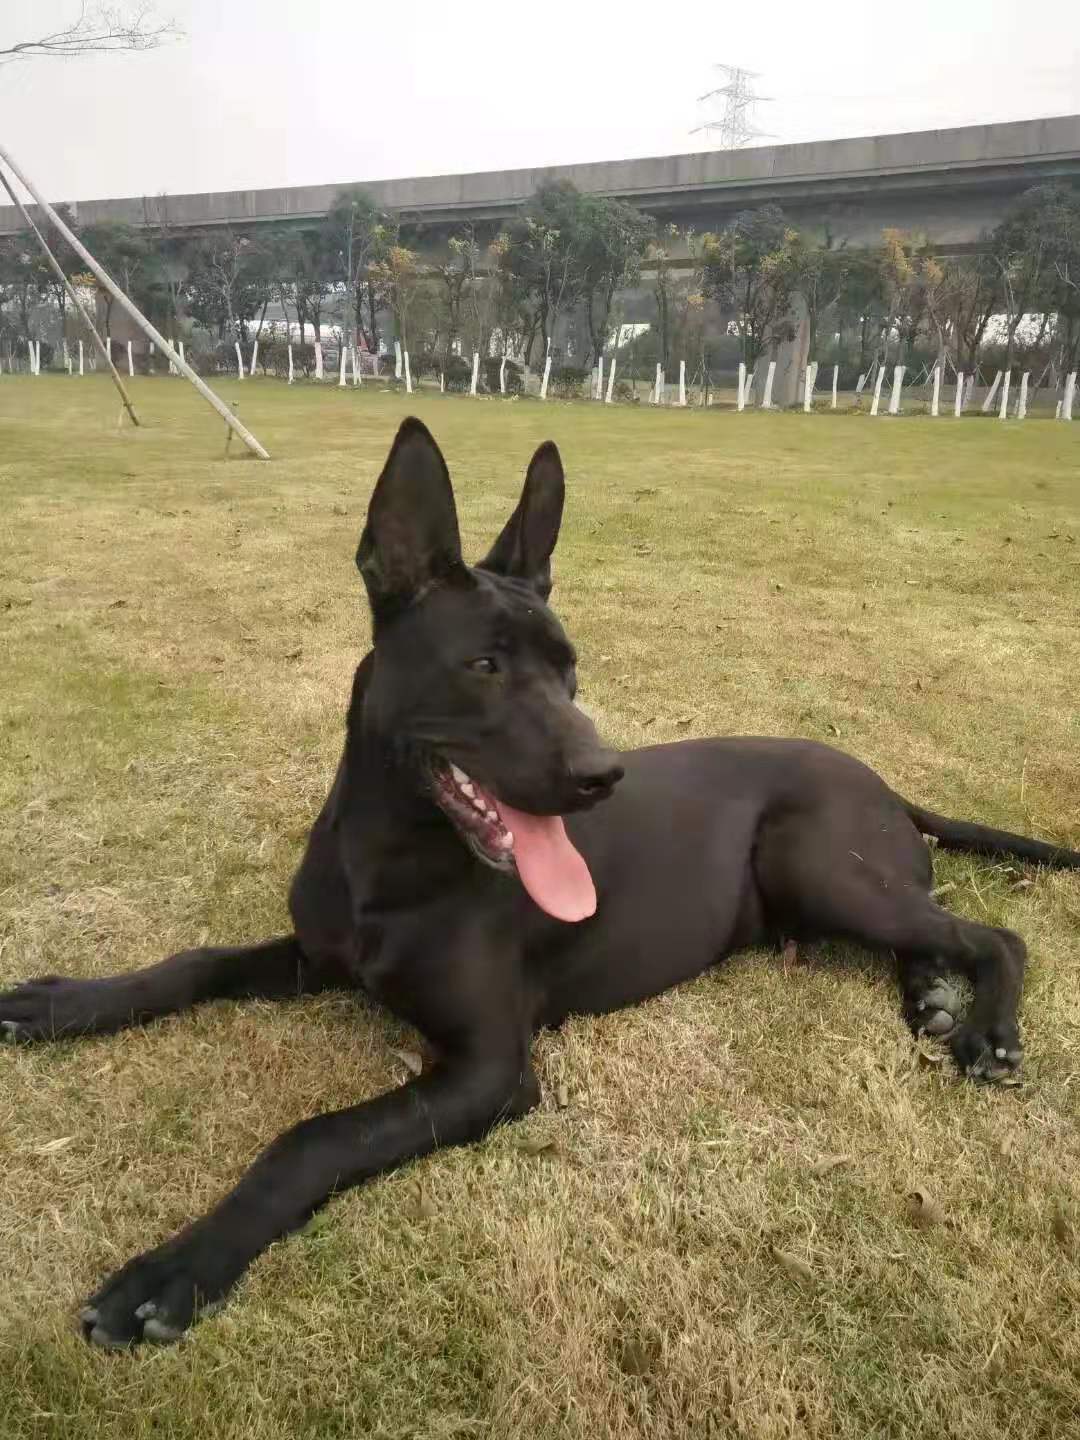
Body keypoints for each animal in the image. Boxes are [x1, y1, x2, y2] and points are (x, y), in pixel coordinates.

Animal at [2, 420, 1080, 1347]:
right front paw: (63, 1003)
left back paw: (983, 1027)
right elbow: (195, 961)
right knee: (931, 926)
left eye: (571, 671)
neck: (390, 858)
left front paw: (174, 1271)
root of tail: (886, 782)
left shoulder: (489, 1070)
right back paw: (932, 997)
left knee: (993, 933)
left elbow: (311, 1138)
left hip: (808, 857)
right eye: (484, 664)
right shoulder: (318, 954)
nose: (605, 775)